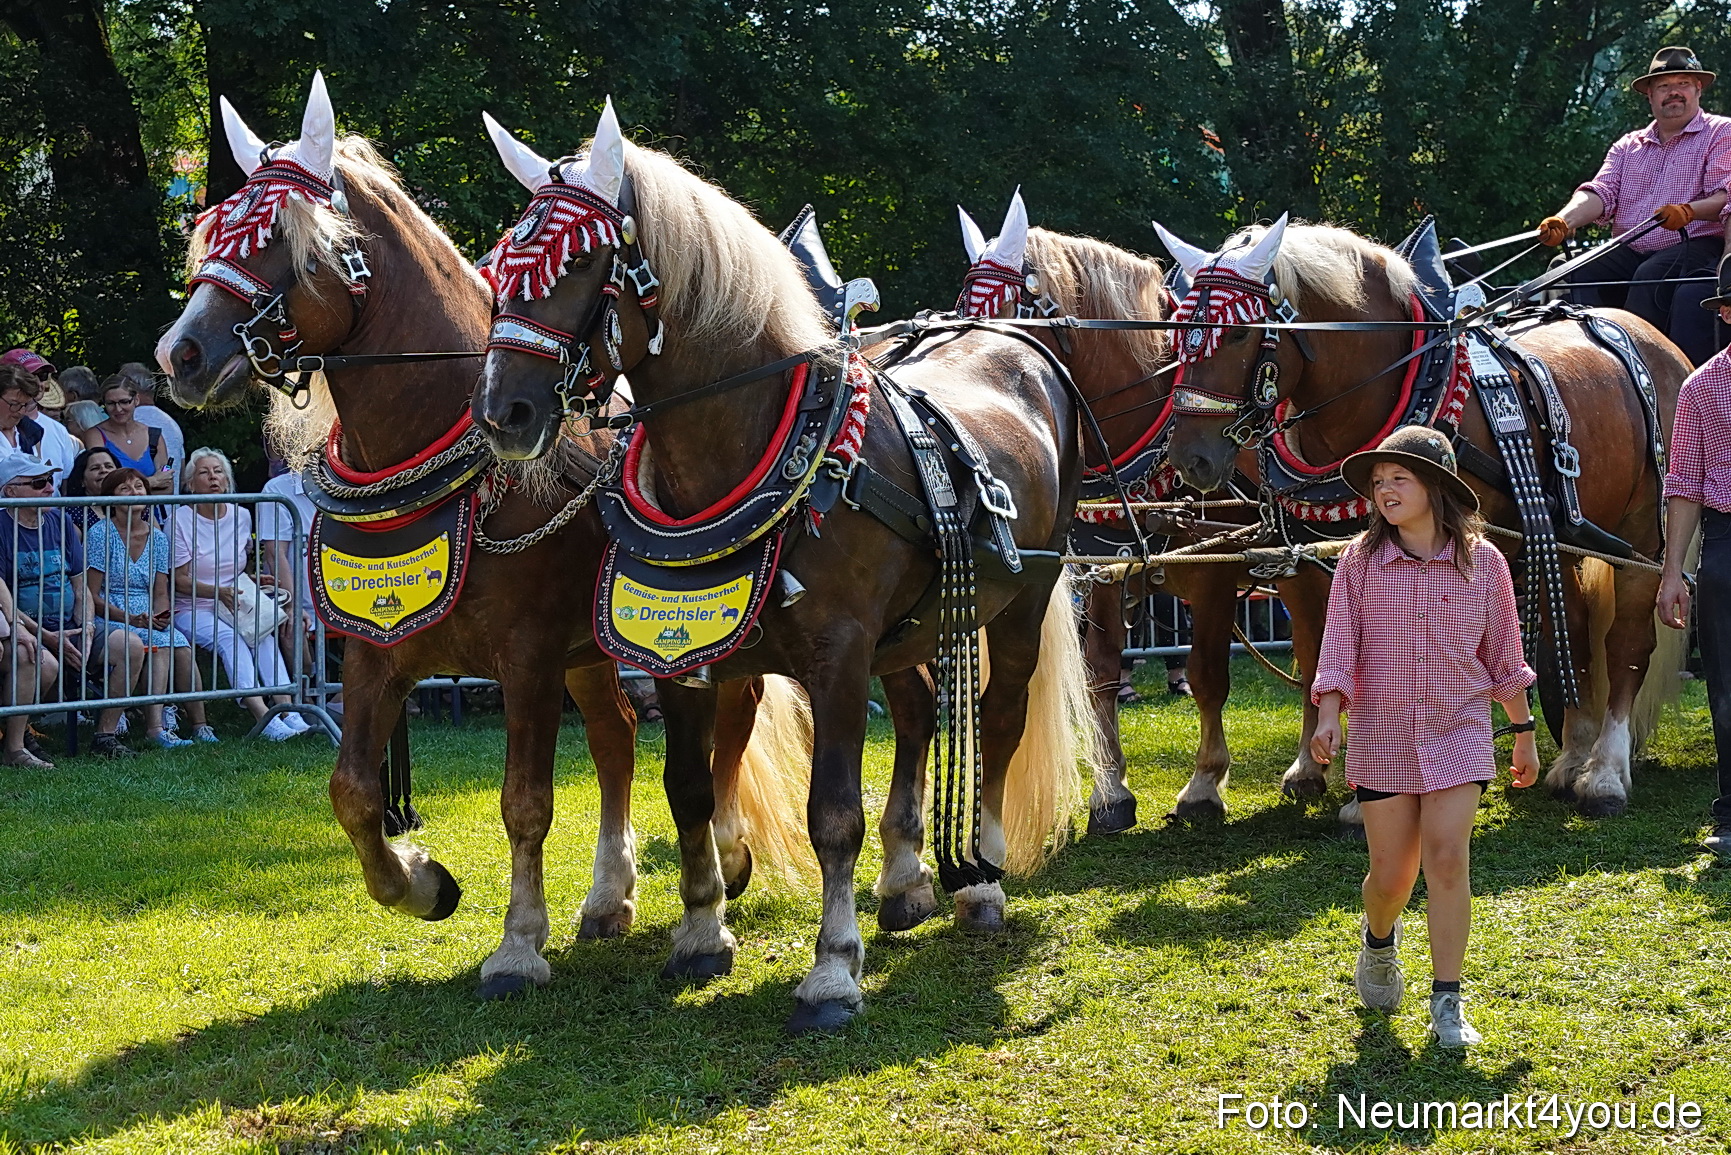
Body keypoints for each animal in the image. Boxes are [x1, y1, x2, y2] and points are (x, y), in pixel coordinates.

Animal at [154, 74, 812, 1000]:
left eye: (283, 241)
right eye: (215, 230)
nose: (179, 353)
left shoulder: (527, 657)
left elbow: (524, 802)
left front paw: (517, 944)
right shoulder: (375, 649)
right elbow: (352, 792)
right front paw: (421, 882)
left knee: (725, 721)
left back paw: (721, 855)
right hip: (590, 652)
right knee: (615, 739)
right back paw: (609, 895)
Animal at [469, 101, 1095, 1032]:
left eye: (577, 260)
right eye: (502, 263)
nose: (502, 411)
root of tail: (1014, 345)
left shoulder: (836, 654)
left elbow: (831, 813)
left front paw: (832, 969)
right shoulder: (681, 653)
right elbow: (688, 788)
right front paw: (701, 934)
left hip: (1020, 602)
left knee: (1000, 718)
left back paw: (978, 882)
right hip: (908, 630)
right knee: (919, 713)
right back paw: (905, 879)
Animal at [953, 192, 1336, 823]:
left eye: (1010, 314)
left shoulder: (1213, 572)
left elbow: (1207, 674)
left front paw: (1204, 785)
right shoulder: (1105, 568)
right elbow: (1102, 673)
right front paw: (1111, 790)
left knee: (1312, 649)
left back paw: (1309, 765)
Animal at [1156, 216, 1689, 816]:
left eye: (1239, 334)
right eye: (1177, 332)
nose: (1191, 458)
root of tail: (1659, 344)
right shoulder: (1321, 558)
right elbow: (1331, 661)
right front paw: (1338, 778)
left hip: (1644, 536)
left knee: (1626, 644)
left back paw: (1605, 772)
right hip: (1559, 537)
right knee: (1571, 630)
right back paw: (1573, 758)